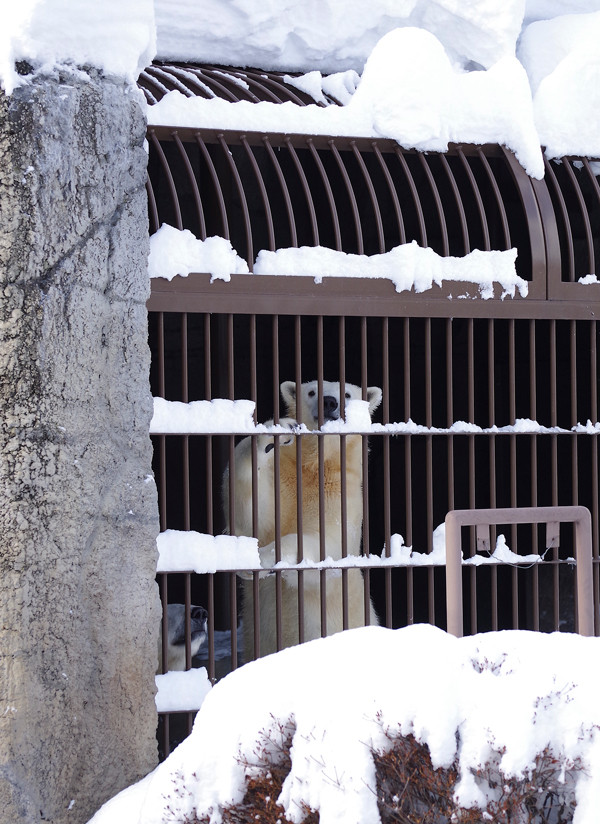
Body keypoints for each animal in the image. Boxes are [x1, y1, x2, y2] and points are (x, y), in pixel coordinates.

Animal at [223, 382, 382, 664]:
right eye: (311, 392)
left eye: (347, 394)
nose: (329, 402)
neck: (315, 466)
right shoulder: (284, 479)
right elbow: (252, 514)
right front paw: (275, 433)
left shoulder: (340, 494)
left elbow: (324, 544)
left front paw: (265, 559)